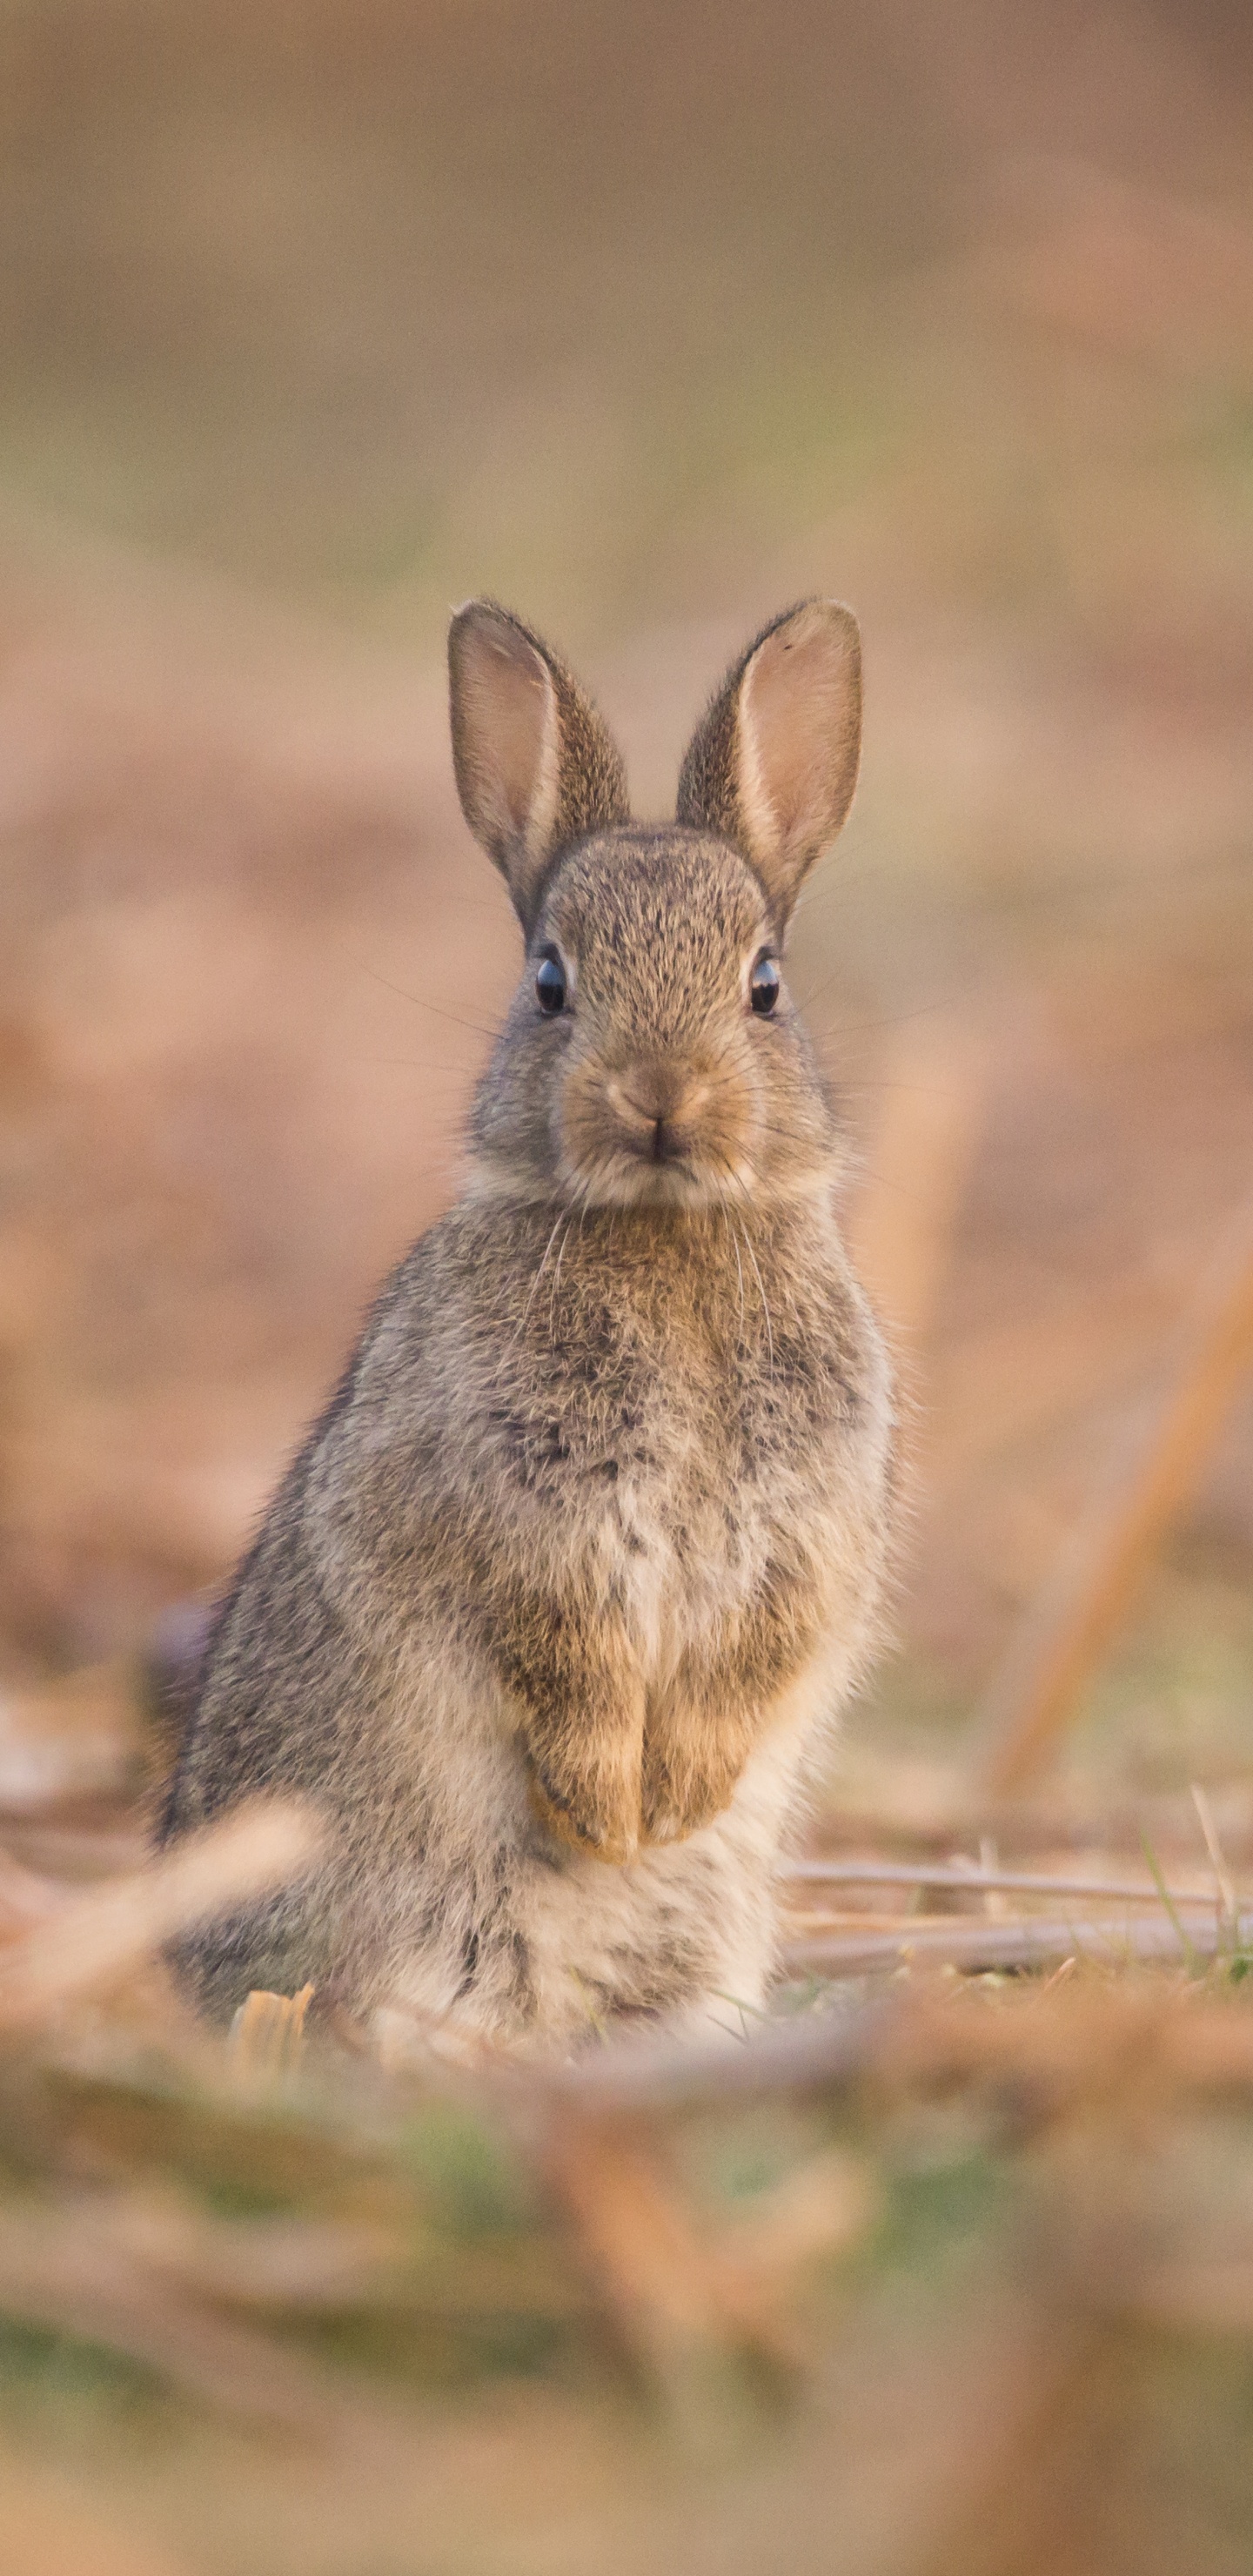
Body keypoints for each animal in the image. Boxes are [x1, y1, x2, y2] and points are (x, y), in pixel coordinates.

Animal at [159, 597, 896, 2048]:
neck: (664, 1229)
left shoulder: (806, 1526)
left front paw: (674, 1801)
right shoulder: (516, 1516)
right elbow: (562, 1654)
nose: (660, 1095)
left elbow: (754, 1652)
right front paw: (611, 1812)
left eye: (765, 985)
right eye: (552, 982)